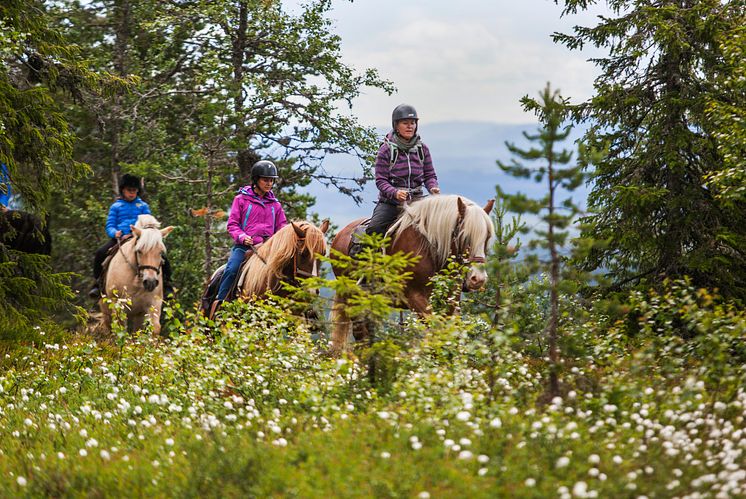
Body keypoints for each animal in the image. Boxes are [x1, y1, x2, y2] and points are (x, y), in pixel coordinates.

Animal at [330, 195, 494, 356]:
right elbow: (436, 329)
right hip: (353, 296)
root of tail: (340, 235)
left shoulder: (450, 300)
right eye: (465, 236)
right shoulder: (415, 297)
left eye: (487, 237)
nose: (478, 279)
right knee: (360, 333)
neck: (430, 251)